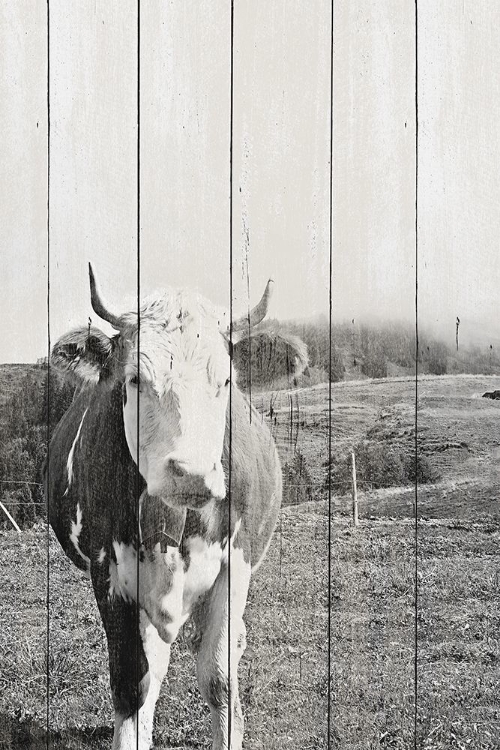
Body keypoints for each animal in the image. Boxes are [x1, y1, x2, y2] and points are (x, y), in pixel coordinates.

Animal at [45, 268, 306, 750]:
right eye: (134, 380)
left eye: (226, 381)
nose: (190, 473)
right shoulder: (109, 572)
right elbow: (132, 682)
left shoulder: (234, 567)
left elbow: (220, 679)